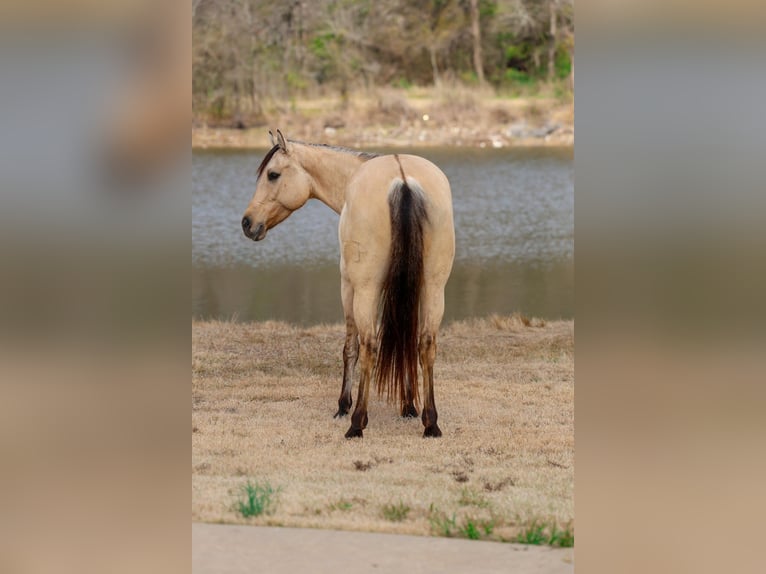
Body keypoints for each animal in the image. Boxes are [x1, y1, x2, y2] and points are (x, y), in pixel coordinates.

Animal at [241, 130, 455, 438]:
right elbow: (405, 337)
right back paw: (431, 423)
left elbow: (349, 348)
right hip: (433, 289)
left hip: (365, 291)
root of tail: (403, 181)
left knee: (368, 346)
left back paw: (357, 422)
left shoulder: (348, 287)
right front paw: (408, 406)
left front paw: (343, 405)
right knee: (425, 344)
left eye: (273, 174)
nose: (247, 223)